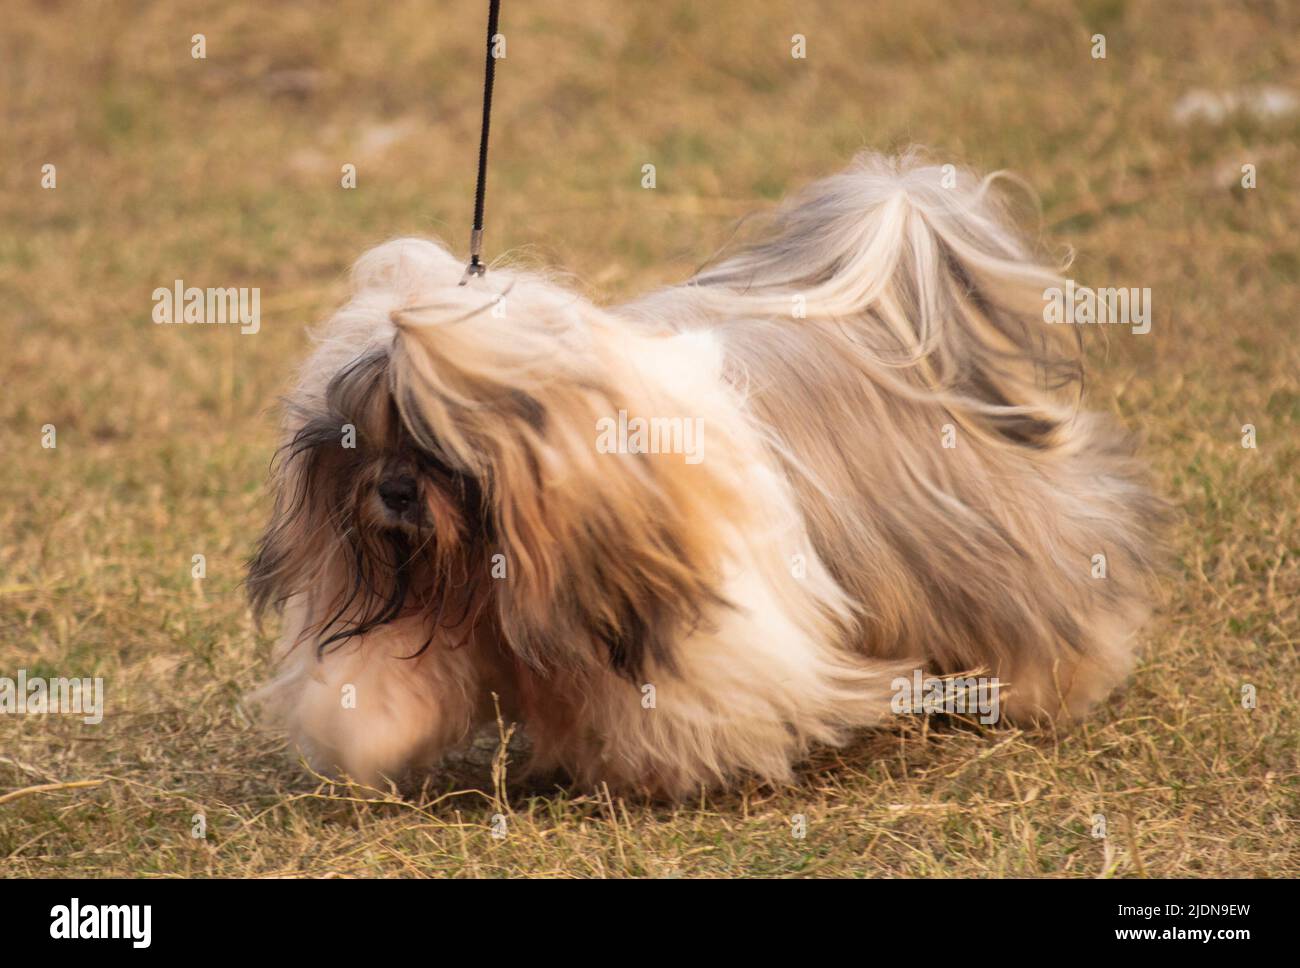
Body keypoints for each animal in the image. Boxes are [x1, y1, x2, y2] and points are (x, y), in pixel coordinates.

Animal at [248, 150, 1164, 795]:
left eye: (443, 449)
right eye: (358, 440)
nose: (396, 491)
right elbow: (382, 676)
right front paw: (369, 730)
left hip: (984, 549)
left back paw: (1049, 684)